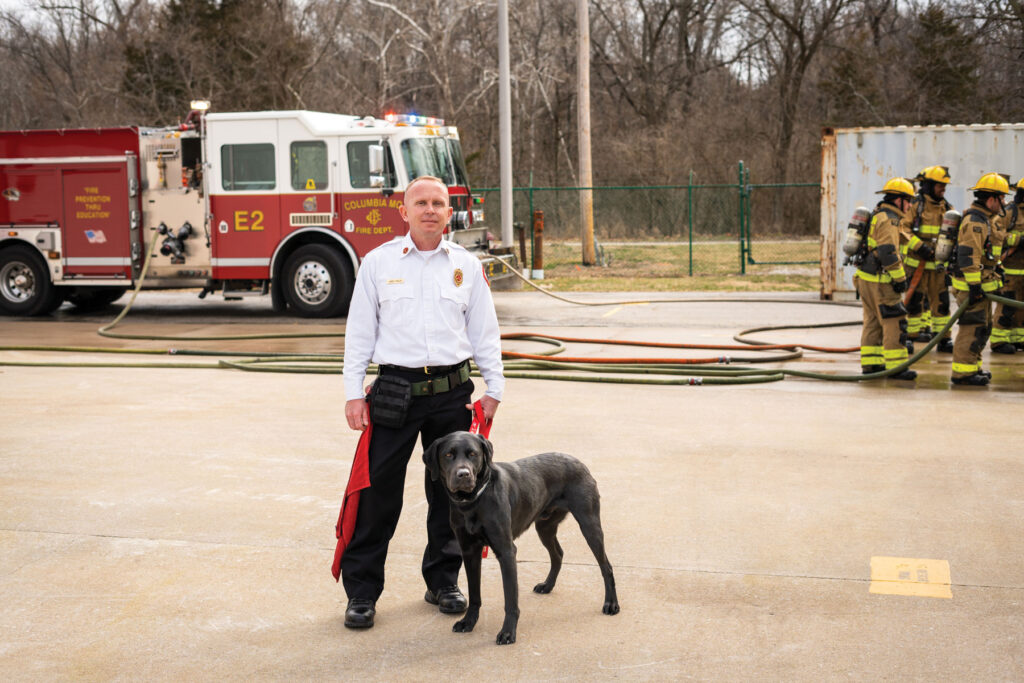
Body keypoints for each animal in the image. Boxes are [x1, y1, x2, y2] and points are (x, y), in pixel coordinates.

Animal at [421, 432, 618, 647]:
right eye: (448, 455)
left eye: (473, 454)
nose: (463, 474)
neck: (472, 502)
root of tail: (579, 462)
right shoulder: (469, 551)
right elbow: (474, 595)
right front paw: (468, 622)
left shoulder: (506, 551)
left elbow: (510, 600)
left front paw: (508, 633)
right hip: (544, 527)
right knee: (558, 554)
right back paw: (547, 585)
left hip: (589, 523)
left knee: (606, 566)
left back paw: (611, 604)